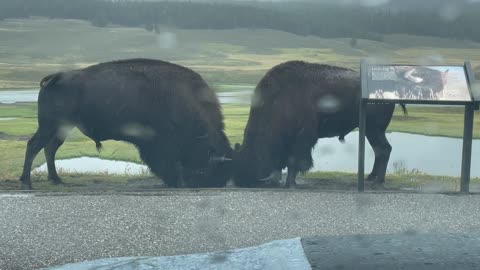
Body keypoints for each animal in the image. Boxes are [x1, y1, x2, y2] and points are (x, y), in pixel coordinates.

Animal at [19, 58, 233, 190]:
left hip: (62, 128)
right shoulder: (163, 144)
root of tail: (56, 77)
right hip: (49, 126)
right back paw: (27, 183)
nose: (217, 183)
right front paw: (175, 182)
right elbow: (170, 163)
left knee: (50, 148)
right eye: (213, 167)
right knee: (34, 145)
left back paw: (57, 180)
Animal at [234, 60, 406, 188]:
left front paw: (290, 183)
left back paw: (378, 181)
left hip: (374, 130)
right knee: (380, 150)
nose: (241, 182)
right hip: (371, 131)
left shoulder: (302, 139)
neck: (278, 99)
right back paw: (371, 177)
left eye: (252, 160)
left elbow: (293, 162)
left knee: (384, 150)